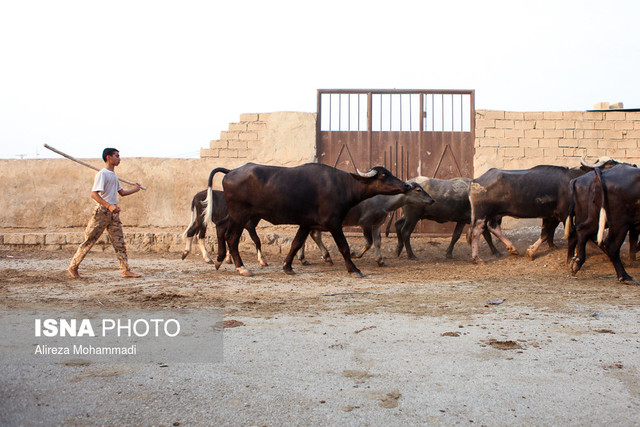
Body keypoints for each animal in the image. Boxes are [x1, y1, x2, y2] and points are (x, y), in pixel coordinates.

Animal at [208, 163, 412, 278]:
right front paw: (354, 269)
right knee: (232, 238)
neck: (341, 185)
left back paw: (218, 259)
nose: (406, 185)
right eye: (384, 175)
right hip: (240, 215)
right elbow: (344, 247)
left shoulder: (306, 224)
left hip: (236, 215)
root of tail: (231, 171)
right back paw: (241, 267)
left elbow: (296, 244)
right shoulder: (334, 224)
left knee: (221, 227)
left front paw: (287, 267)